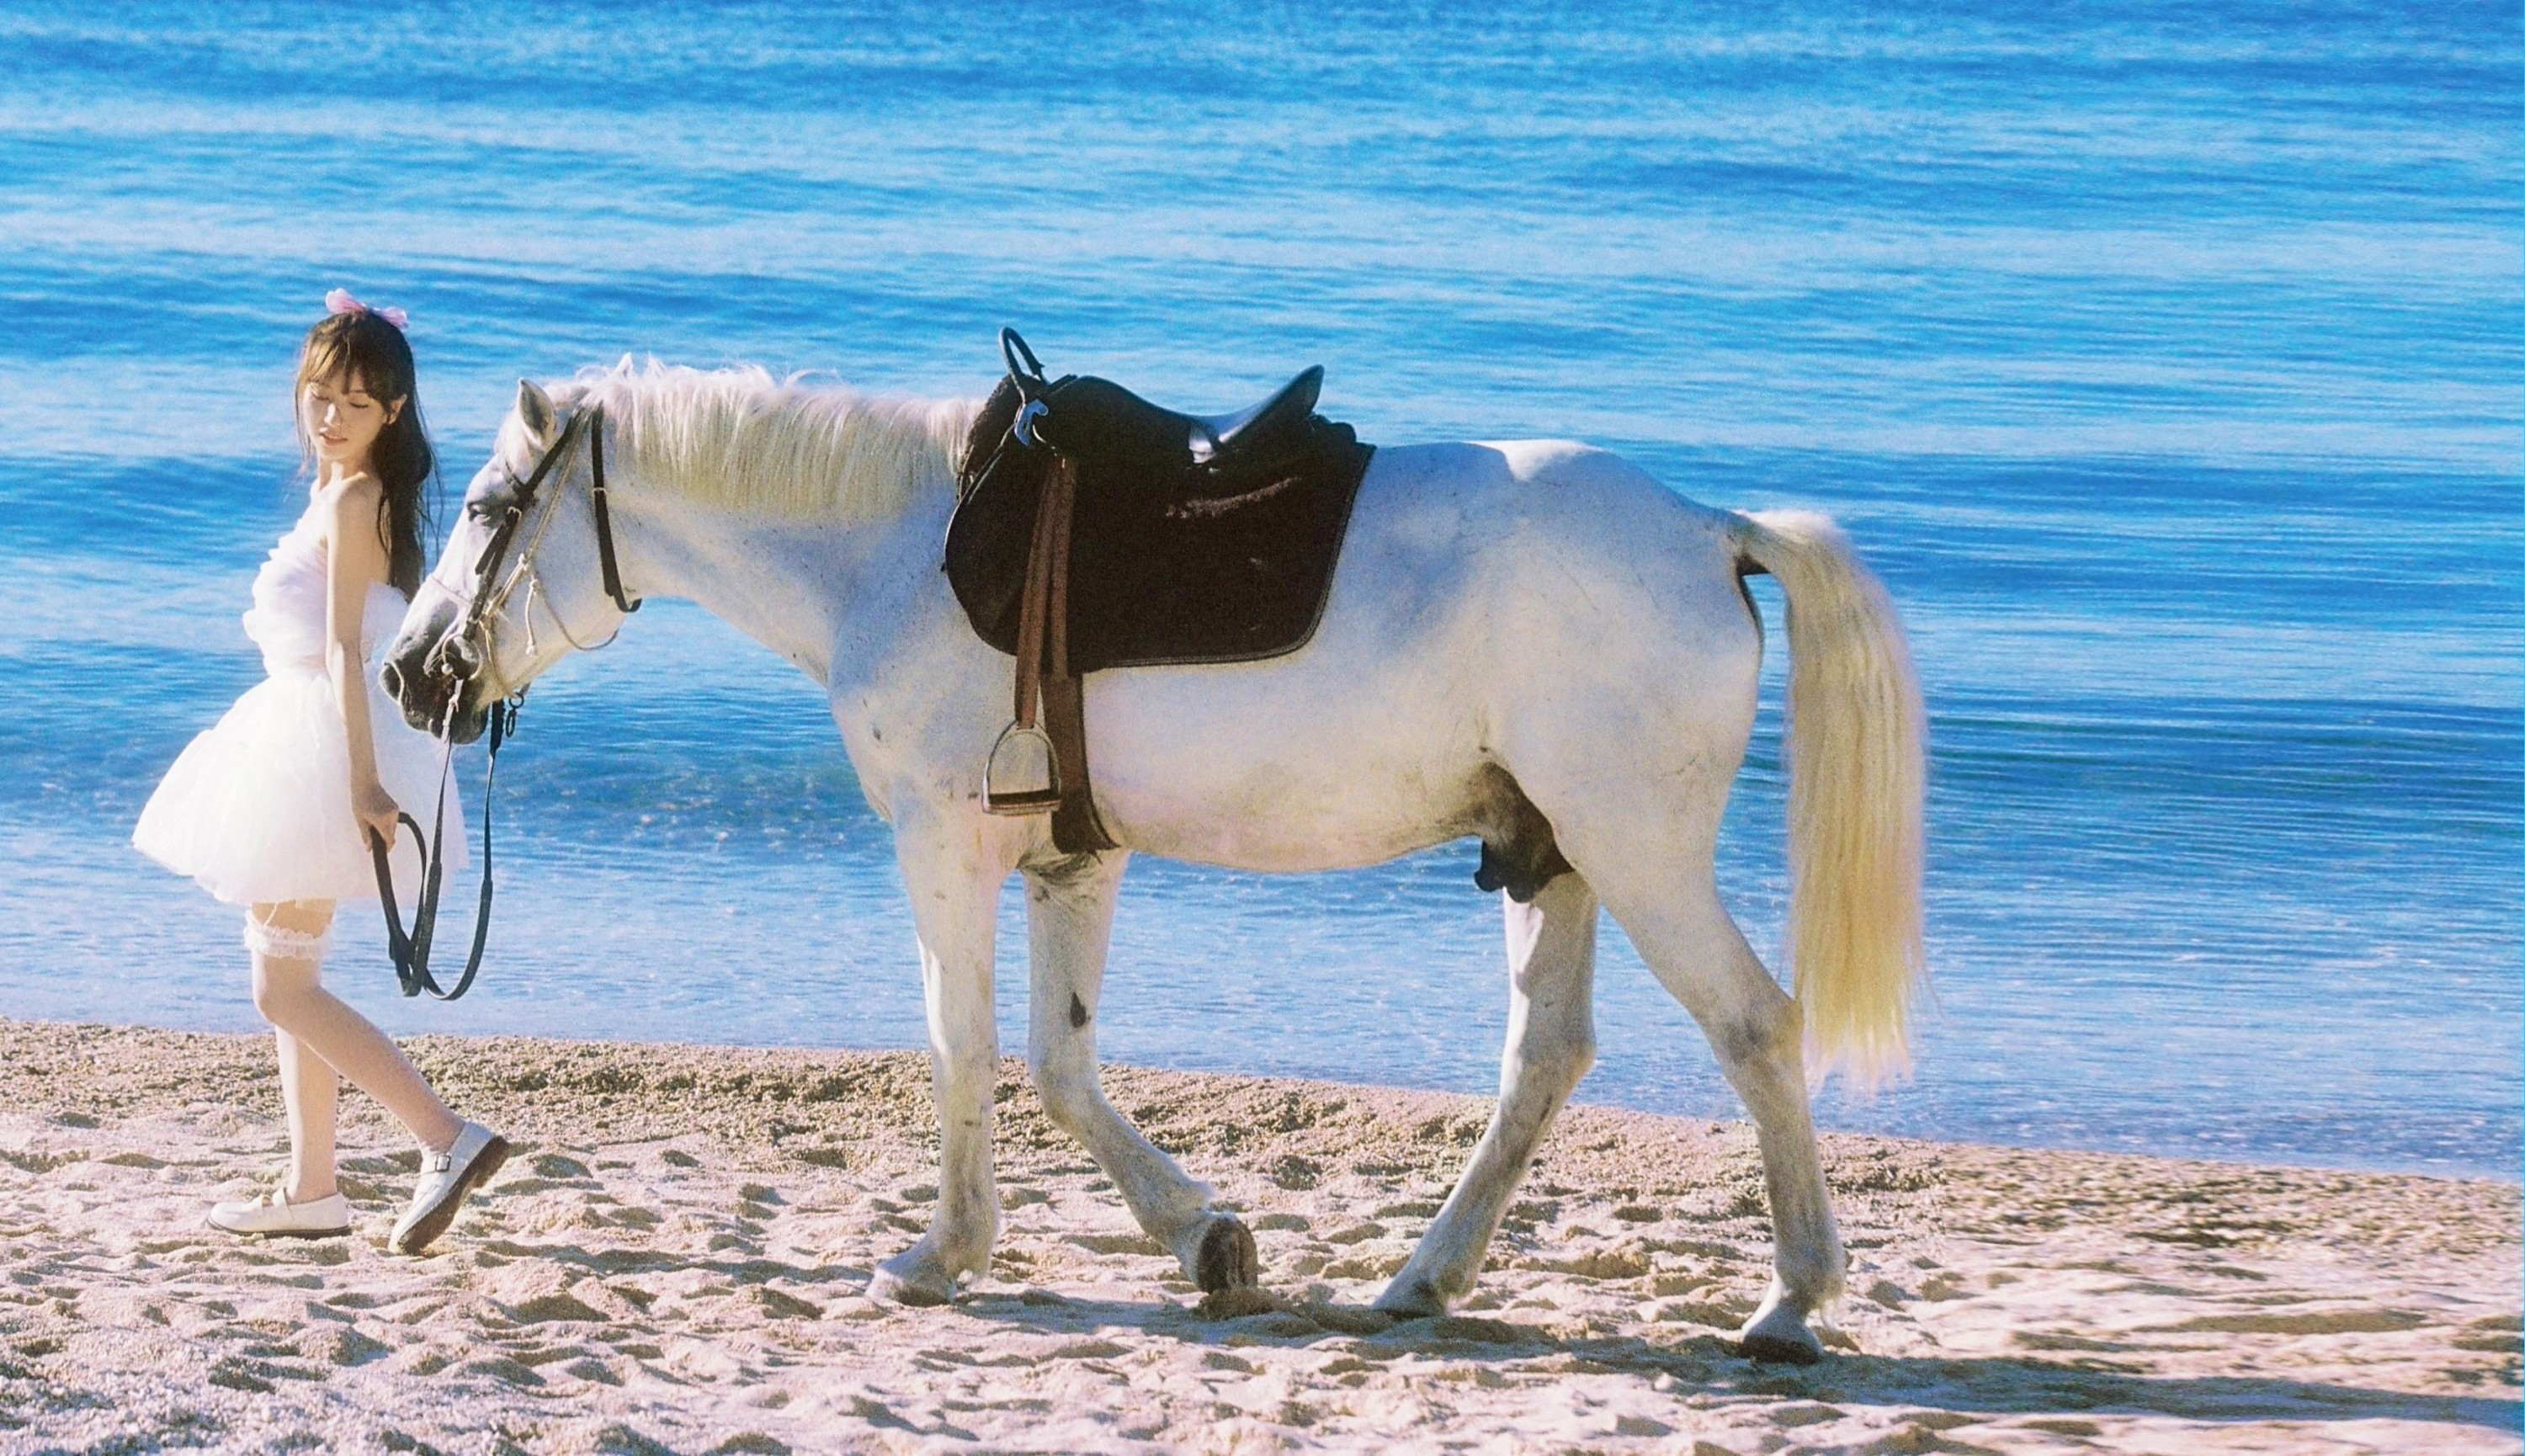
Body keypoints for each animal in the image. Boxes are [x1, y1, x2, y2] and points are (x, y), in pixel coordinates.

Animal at [383, 357, 1925, 1364]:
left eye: (486, 511)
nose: (405, 672)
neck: (902, 550)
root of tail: (1711, 535)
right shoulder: (1075, 859)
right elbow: (1061, 1064)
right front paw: (1206, 1240)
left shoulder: (945, 843)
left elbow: (960, 1042)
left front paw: (944, 1254)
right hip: (1552, 856)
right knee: (1544, 1060)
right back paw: (1422, 1280)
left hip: (1632, 848)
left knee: (1753, 1025)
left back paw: (1791, 1301)